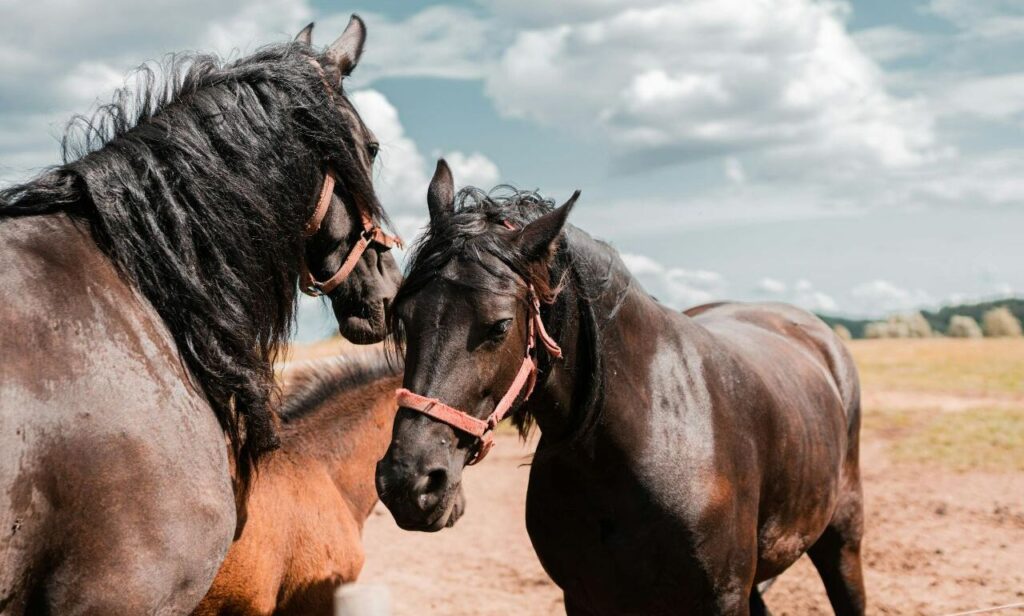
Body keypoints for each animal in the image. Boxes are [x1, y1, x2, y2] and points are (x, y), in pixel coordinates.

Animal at [375, 160, 865, 615]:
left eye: (498, 326)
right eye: (404, 317)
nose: (408, 482)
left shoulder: (723, 598)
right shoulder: (585, 597)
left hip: (843, 539)